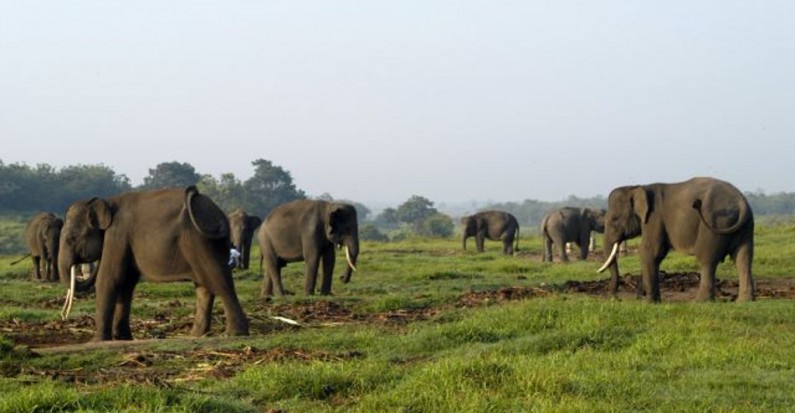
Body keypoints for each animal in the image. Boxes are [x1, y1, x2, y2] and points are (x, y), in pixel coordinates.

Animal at [58, 187, 249, 342]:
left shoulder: (117, 235)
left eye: (71, 238)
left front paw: (96, 341)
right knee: (204, 286)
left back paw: (235, 333)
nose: (63, 317)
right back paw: (195, 335)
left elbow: (109, 280)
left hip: (200, 243)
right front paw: (123, 338)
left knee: (219, 281)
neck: (106, 202)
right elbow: (126, 284)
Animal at [600, 177, 756, 302]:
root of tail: (741, 202)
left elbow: (649, 252)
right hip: (745, 227)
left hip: (715, 222)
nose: (616, 298)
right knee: (744, 258)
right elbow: (657, 254)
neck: (637, 187)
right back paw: (744, 301)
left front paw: (650, 302)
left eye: (614, 219)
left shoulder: (654, 217)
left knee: (707, 258)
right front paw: (651, 300)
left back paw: (700, 302)